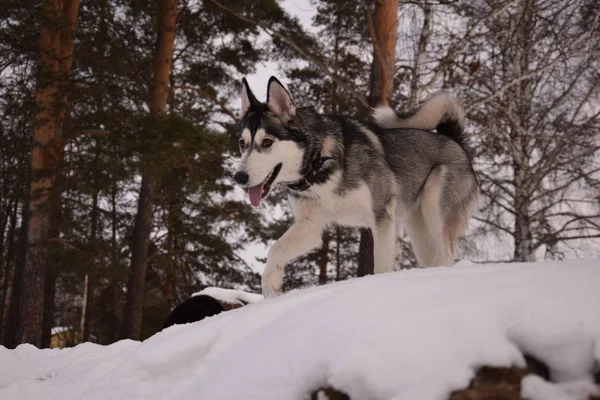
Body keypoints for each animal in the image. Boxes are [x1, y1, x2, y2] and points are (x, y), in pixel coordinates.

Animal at [234, 76, 478, 296]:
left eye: (267, 142)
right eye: (242, 144)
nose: (239, 177)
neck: (318, 164)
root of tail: (455, 141)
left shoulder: (382, 216)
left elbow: (380, 265)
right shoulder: (310, 225)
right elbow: (275, 250)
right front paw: (271, 288)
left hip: (434, 209)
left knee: (447, 253)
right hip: (420, 232)